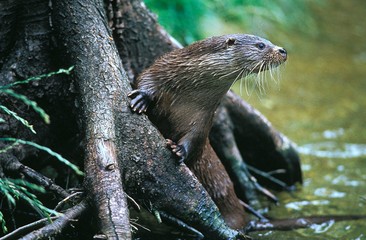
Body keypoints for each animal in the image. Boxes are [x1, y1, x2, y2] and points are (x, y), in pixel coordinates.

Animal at [129, 33, 286, 227]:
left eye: (268, 42)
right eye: (261, 45)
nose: (283, 50)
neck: (187, 94)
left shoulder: (204, 118)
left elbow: (196, 138)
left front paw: (179, 150)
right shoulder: (163, 67)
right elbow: (145, 76)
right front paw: (141, 97)